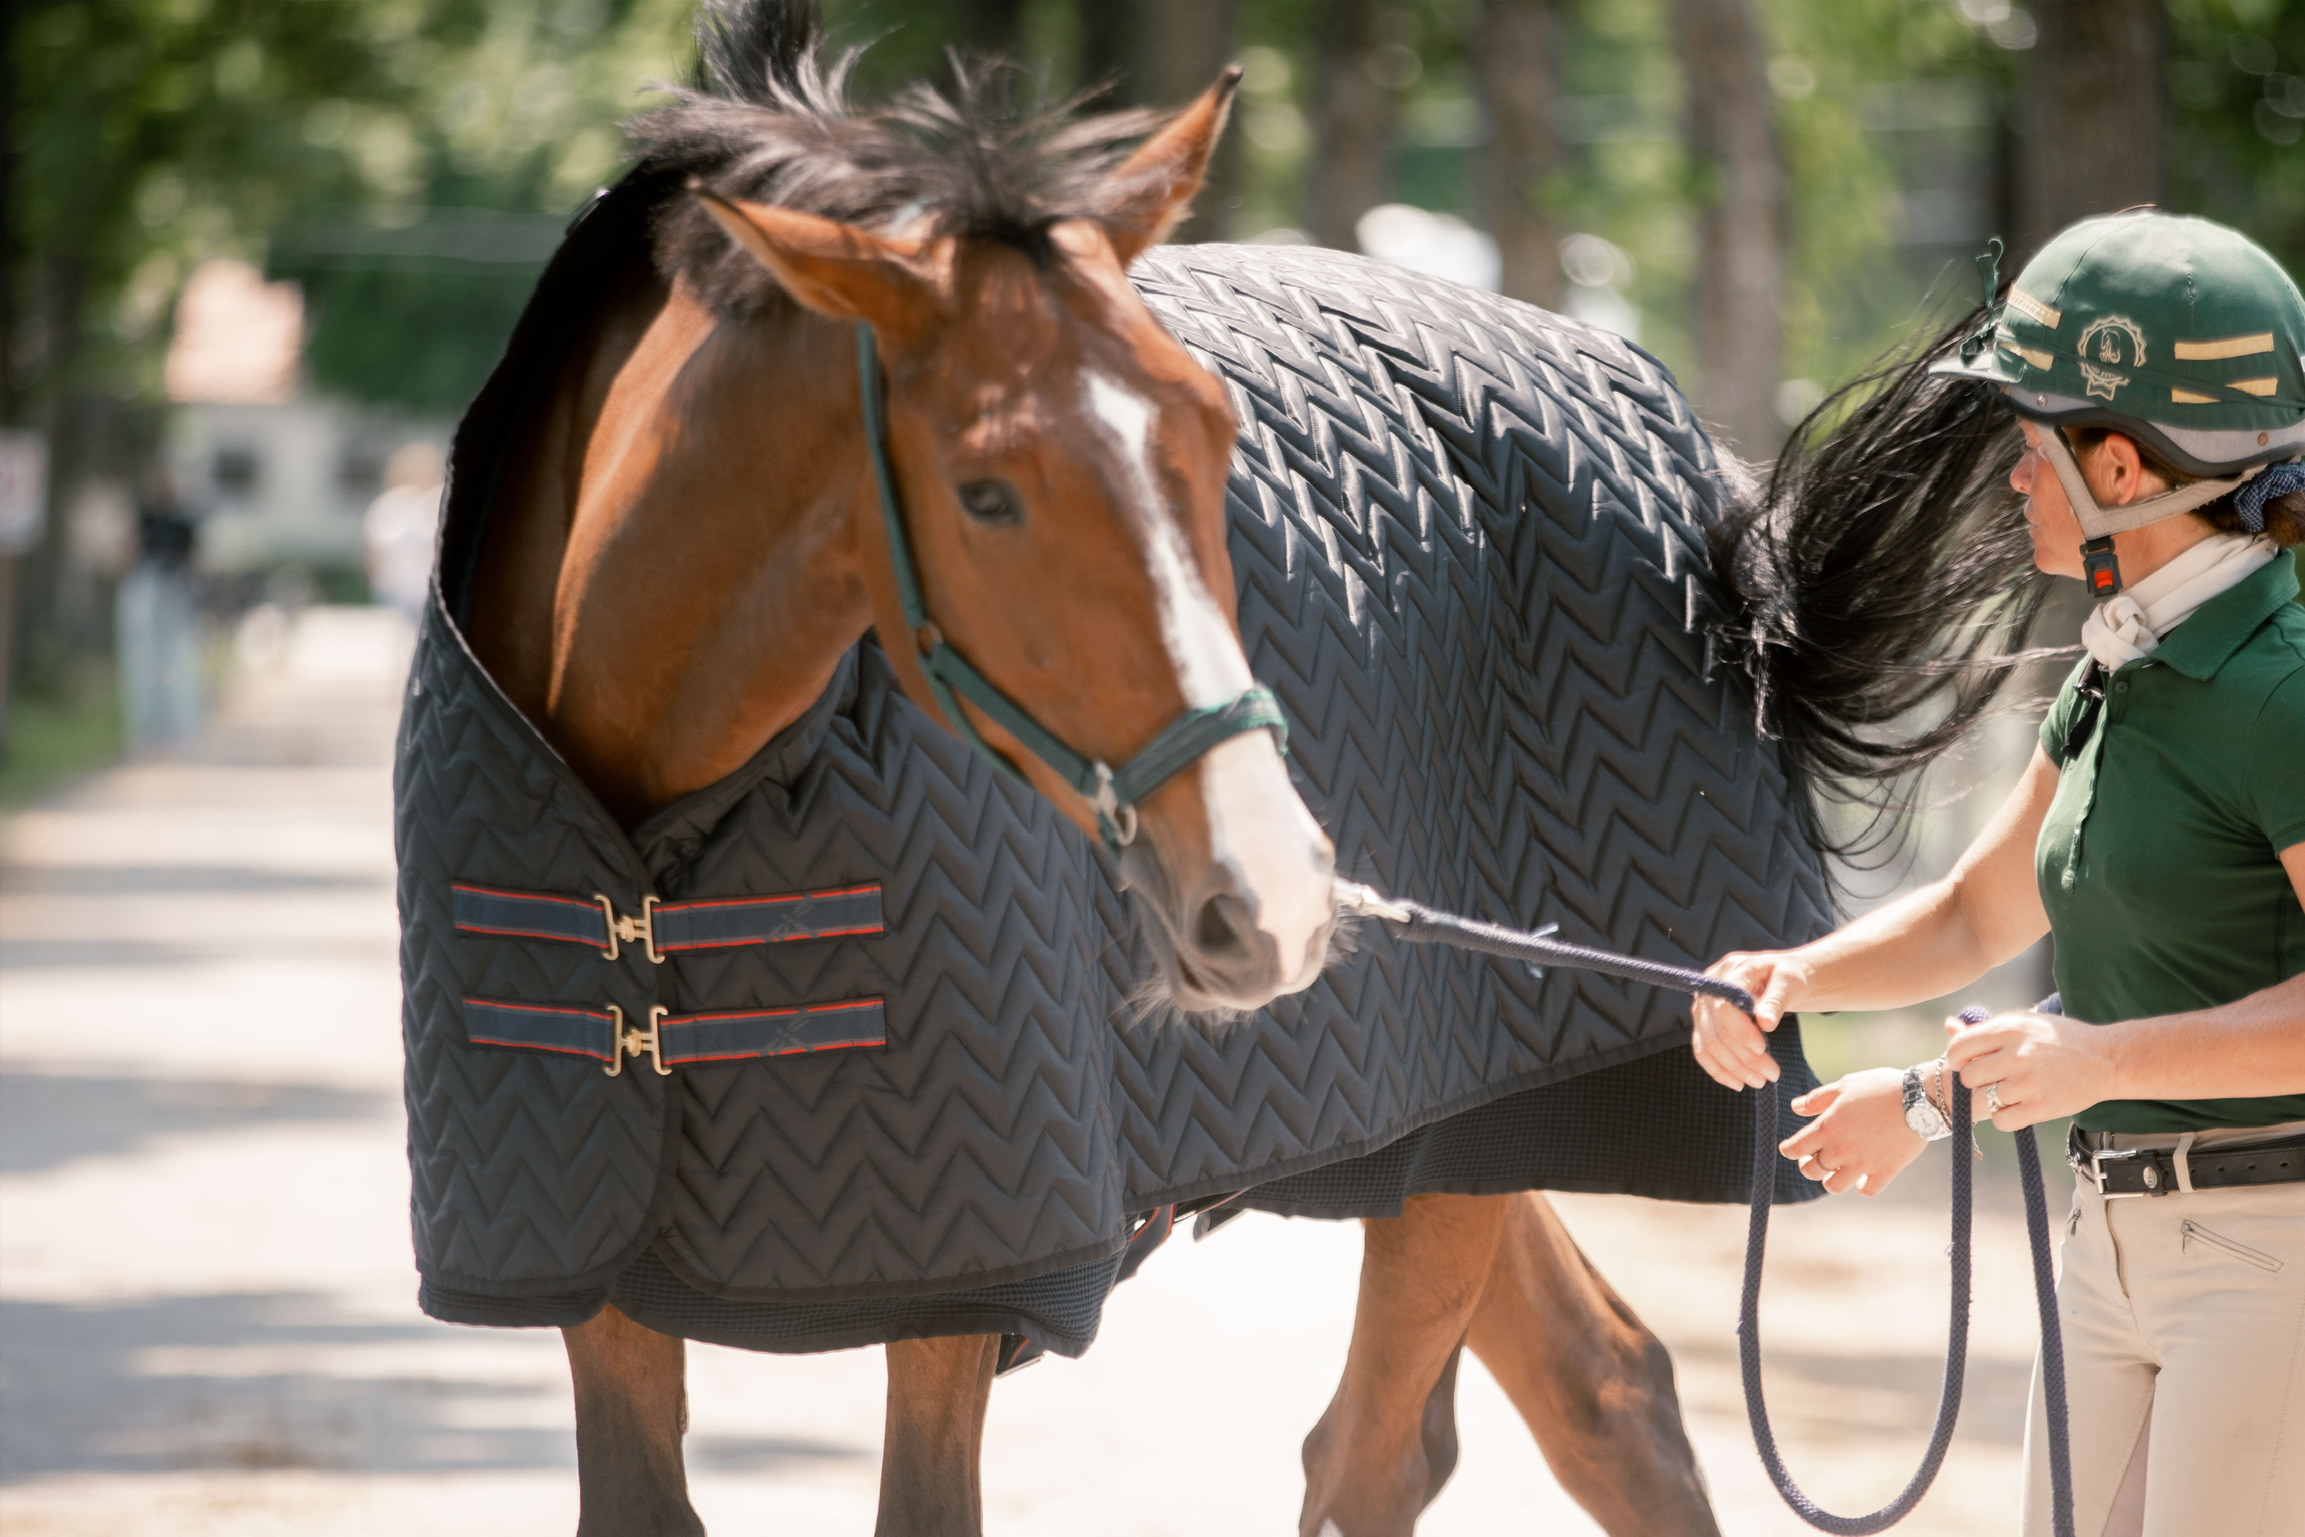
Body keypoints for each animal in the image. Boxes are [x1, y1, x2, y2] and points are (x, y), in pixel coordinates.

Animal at [400, 4, 2044, 1532]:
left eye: (1210, 433)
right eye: (985, 491)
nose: (1276, 889)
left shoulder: (962, 1294)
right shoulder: (596, 1282)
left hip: (1470, 1123)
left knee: (1383, 1453)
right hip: (1428, 1142)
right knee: (1608, 1387)